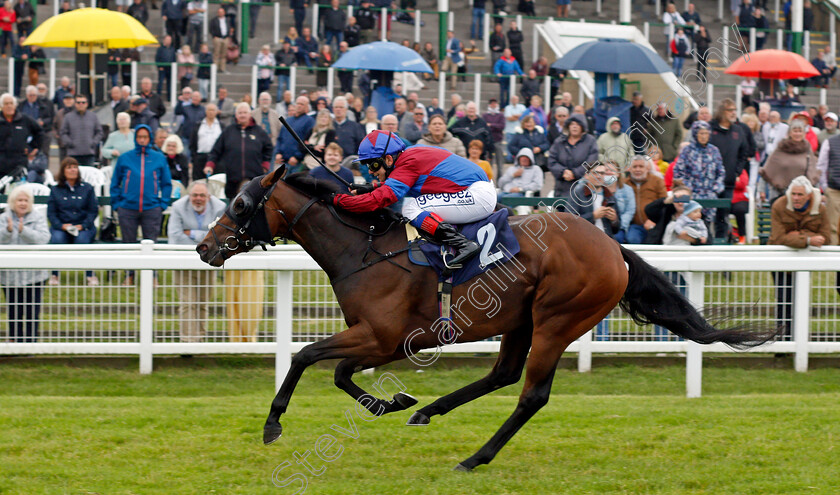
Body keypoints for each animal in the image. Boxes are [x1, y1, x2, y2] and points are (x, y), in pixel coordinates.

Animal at [197, 167, 776, 472]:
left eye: (241, 203)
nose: (204, 248)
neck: (366, 250)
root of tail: (612, 246)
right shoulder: (383, 341)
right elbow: (338, 372)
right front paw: (393, 401)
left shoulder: (383, 336)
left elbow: (306, 356)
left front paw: (273, 424)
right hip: (522, 319)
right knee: (503, 373)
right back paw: (428, 412)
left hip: (559, 319)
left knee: (531, 394)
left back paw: (476, 457)